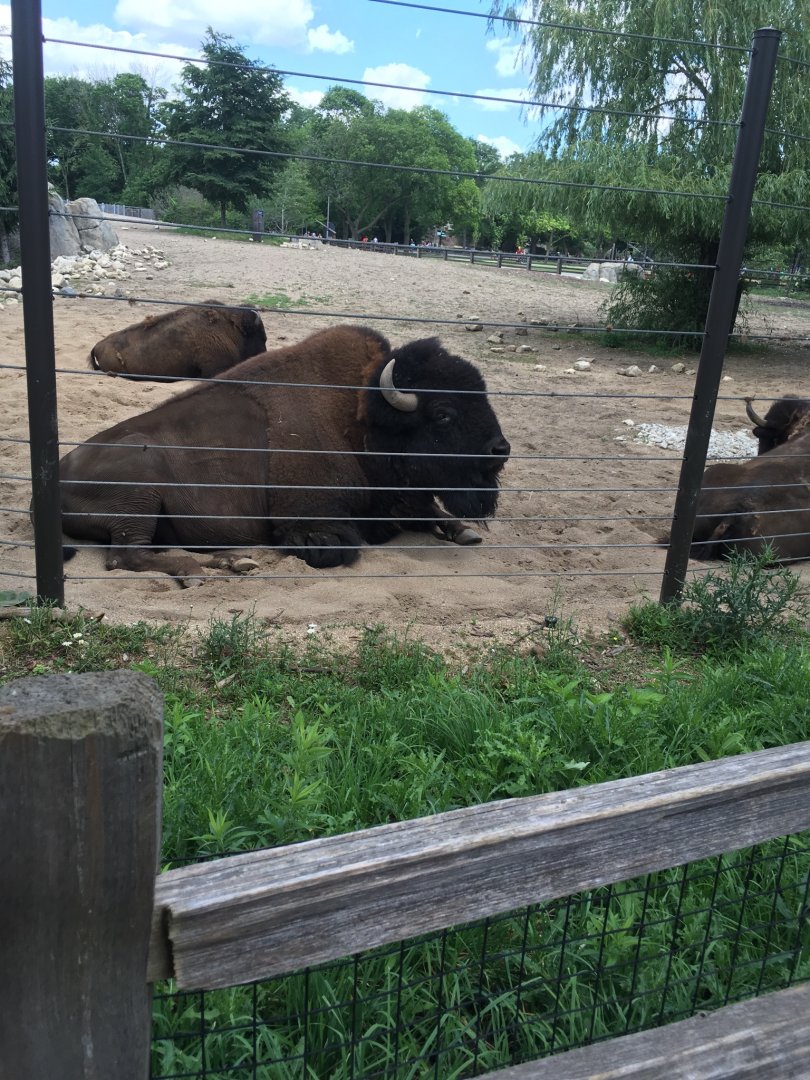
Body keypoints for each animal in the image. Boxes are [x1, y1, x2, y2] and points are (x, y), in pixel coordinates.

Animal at [60, 325, 510, 582]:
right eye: (443, 414)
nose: (500, 450)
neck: (359, 421)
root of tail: (58, 473)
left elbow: (430, 510)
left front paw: (463, 531)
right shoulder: (313, 524)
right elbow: (342, 545)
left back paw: (233, 563)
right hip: (139, 494)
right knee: (127, 555)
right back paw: (204, 572)